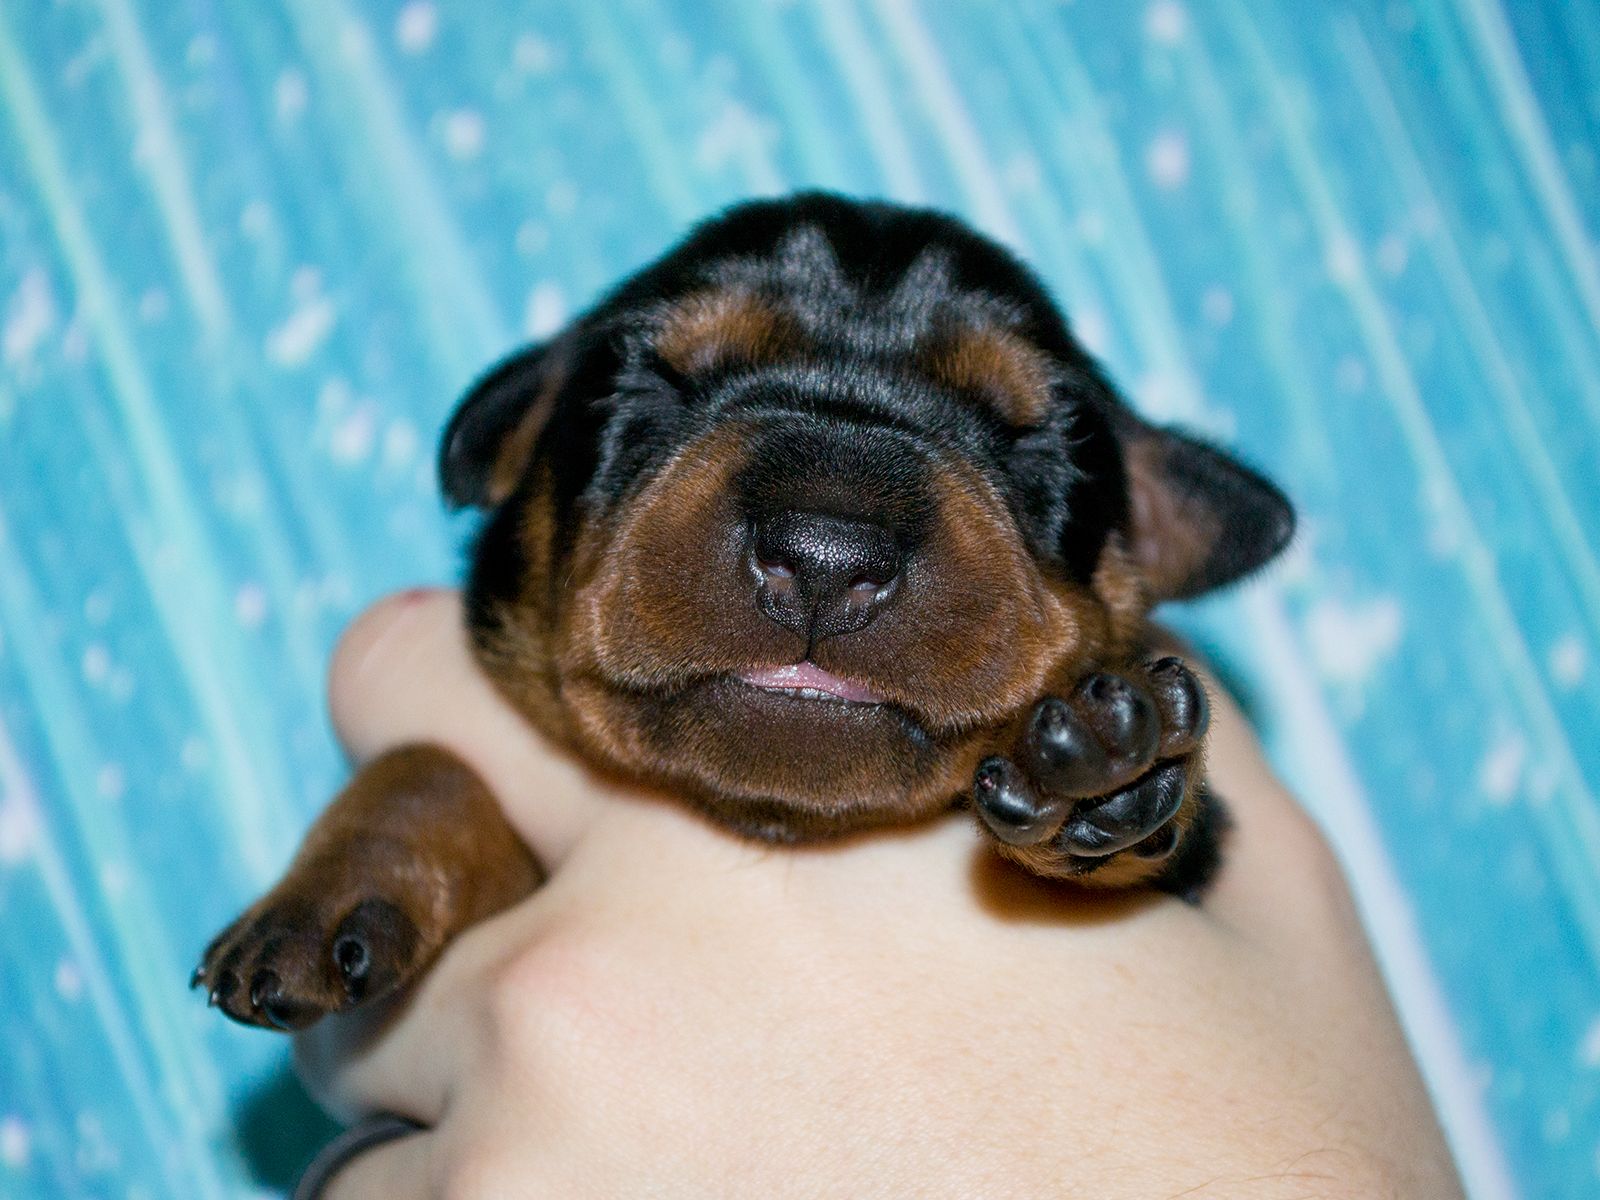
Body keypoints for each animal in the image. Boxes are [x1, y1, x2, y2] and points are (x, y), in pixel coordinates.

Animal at [196, 193, 1293, 1030]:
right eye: (656, 387)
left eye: (1032, 445)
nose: (825, 556)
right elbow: (425, 762)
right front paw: (328, 890)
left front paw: (1102, 780)